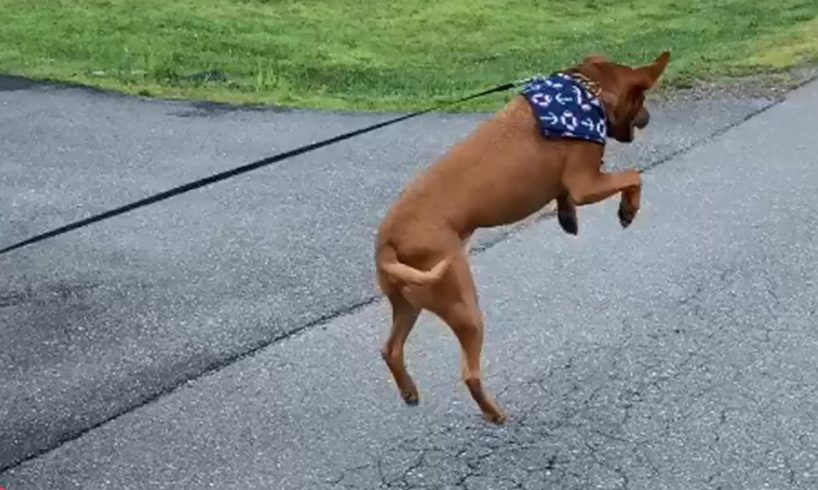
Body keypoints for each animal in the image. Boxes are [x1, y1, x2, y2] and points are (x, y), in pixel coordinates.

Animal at [372, 51, 668, 424]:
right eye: (642, 99)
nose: (648, 117)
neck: (589, 89)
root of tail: (387, 246)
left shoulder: (572, 183)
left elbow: (565, 195)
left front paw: (567, 217)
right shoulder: (585, 183)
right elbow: (633, 176)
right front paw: (628, 209)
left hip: (409, 302)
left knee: (391, 349)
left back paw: (410, 391)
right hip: (461, 302)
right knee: (469, 373)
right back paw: (494, 413)